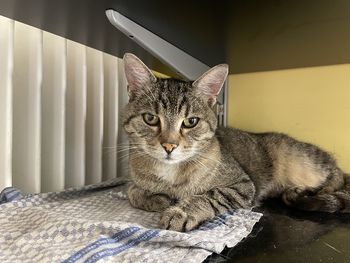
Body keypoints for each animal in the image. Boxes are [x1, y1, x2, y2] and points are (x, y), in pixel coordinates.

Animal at [123, 52, 350, 232]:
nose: (169, 146)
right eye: (150, 118)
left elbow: (210, 195)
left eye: (190, 122)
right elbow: (131, 191)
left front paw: (181, 211)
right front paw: (157, 198)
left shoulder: (243, 185)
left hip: (304, 164)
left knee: (336, 178)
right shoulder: (134, 181)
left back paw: (304, 191)